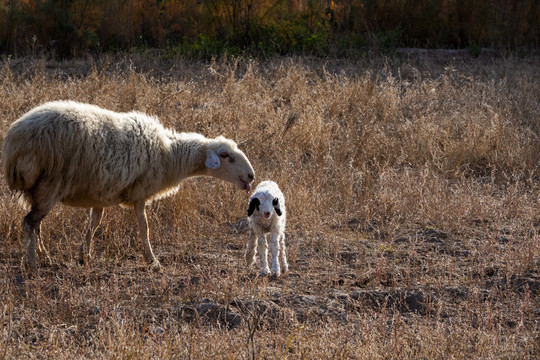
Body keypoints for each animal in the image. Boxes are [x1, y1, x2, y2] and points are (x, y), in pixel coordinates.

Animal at [2, 101, 255, 270]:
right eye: (225, 155)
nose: (251, 176)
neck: (169, 155)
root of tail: (14, 143)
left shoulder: (100, 193)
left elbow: (93, 224)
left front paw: (85, 255)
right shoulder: (140, 193)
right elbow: (144, 227)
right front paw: (152, 260)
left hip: (40, 189)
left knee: (36, 225)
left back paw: (44, 256)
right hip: (50, 184)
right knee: (29, 223)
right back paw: (32, 263)